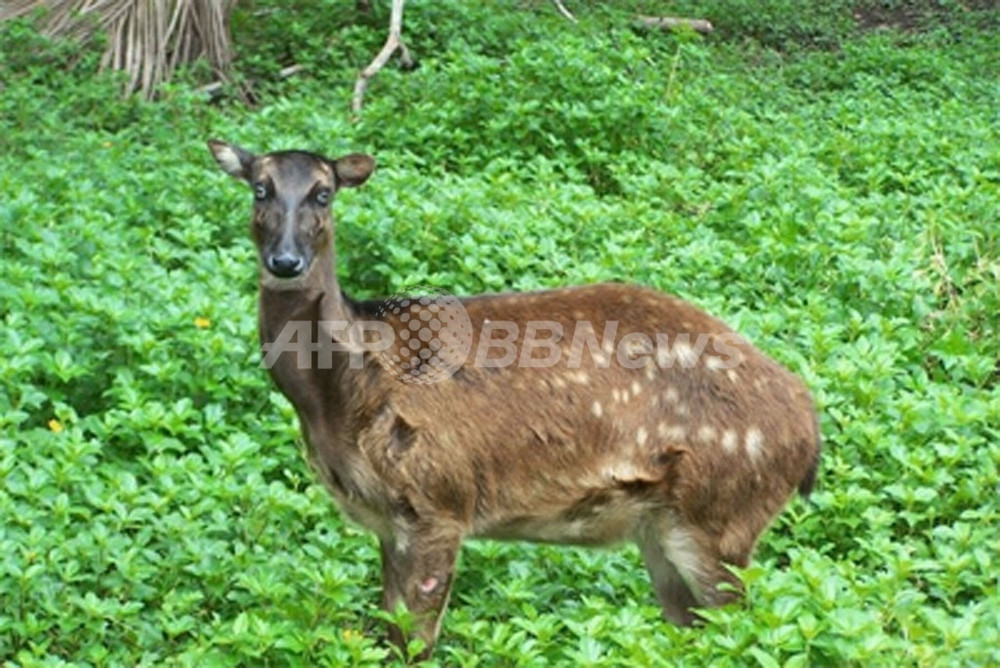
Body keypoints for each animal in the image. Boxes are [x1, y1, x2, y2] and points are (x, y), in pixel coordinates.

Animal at [209, 140, 820, 656]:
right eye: (260, 188)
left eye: (323, 191)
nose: (286, 261)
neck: (344, 399)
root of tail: (808, 426)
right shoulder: (386, 521)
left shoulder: (439, 500)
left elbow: (415, 645)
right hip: (664, 529)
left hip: (722, 516)